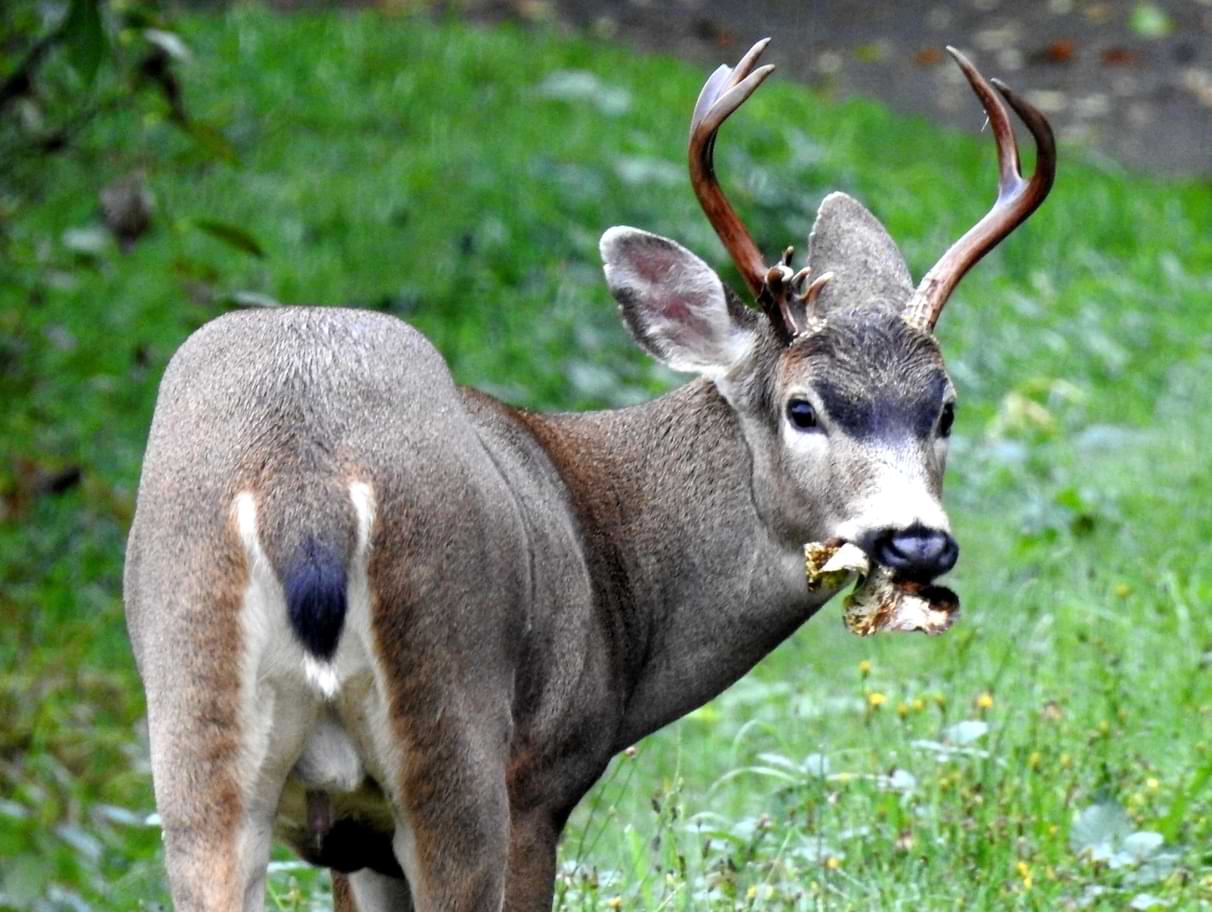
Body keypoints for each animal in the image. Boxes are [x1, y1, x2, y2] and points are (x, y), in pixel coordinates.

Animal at [123, 39, 1054, 912]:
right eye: (803, 408)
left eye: (945, 409)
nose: (918, 541)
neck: (619, 573)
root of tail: (305, 491)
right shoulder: (540, 777)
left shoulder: (358, 838)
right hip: (453, 725)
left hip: (196, 742)